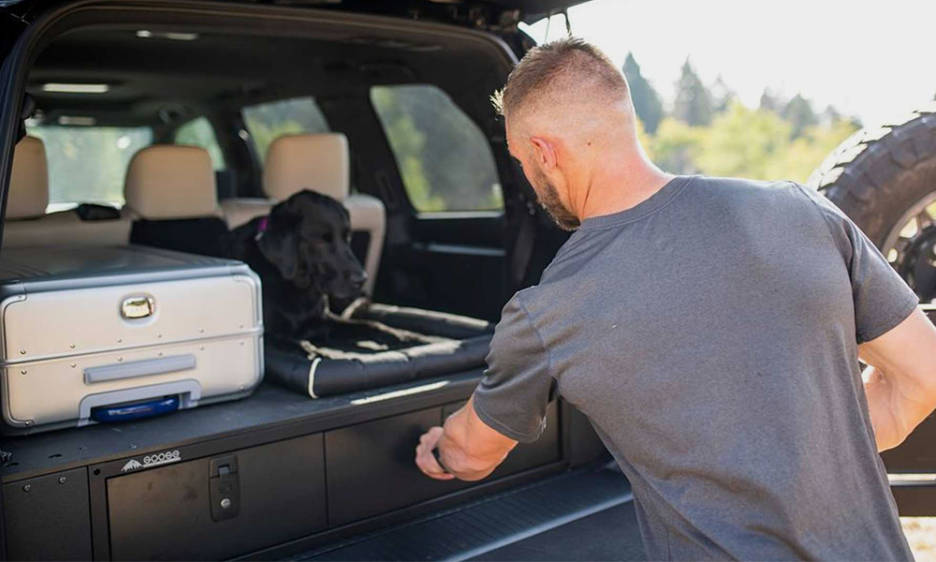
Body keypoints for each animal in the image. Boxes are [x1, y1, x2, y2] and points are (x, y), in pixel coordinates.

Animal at [228, 190, 367, 340]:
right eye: (321, 241)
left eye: (347, 237)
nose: (362, 279)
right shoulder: (273, 336)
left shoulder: (322, 319)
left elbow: (368, 325)